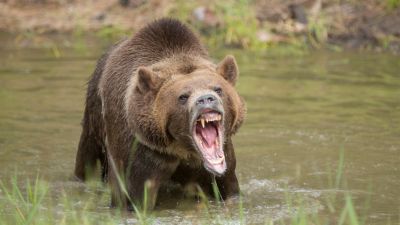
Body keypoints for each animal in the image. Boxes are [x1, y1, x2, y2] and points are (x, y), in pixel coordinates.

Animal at [73, 18, 245, 210]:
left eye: (218, 89)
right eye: (183, 96)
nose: (206, 99)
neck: (182, 148)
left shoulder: (221, 159)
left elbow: (227, 186)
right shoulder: (142, 151)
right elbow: (134, 195)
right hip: (95, 117)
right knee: (87, 158)